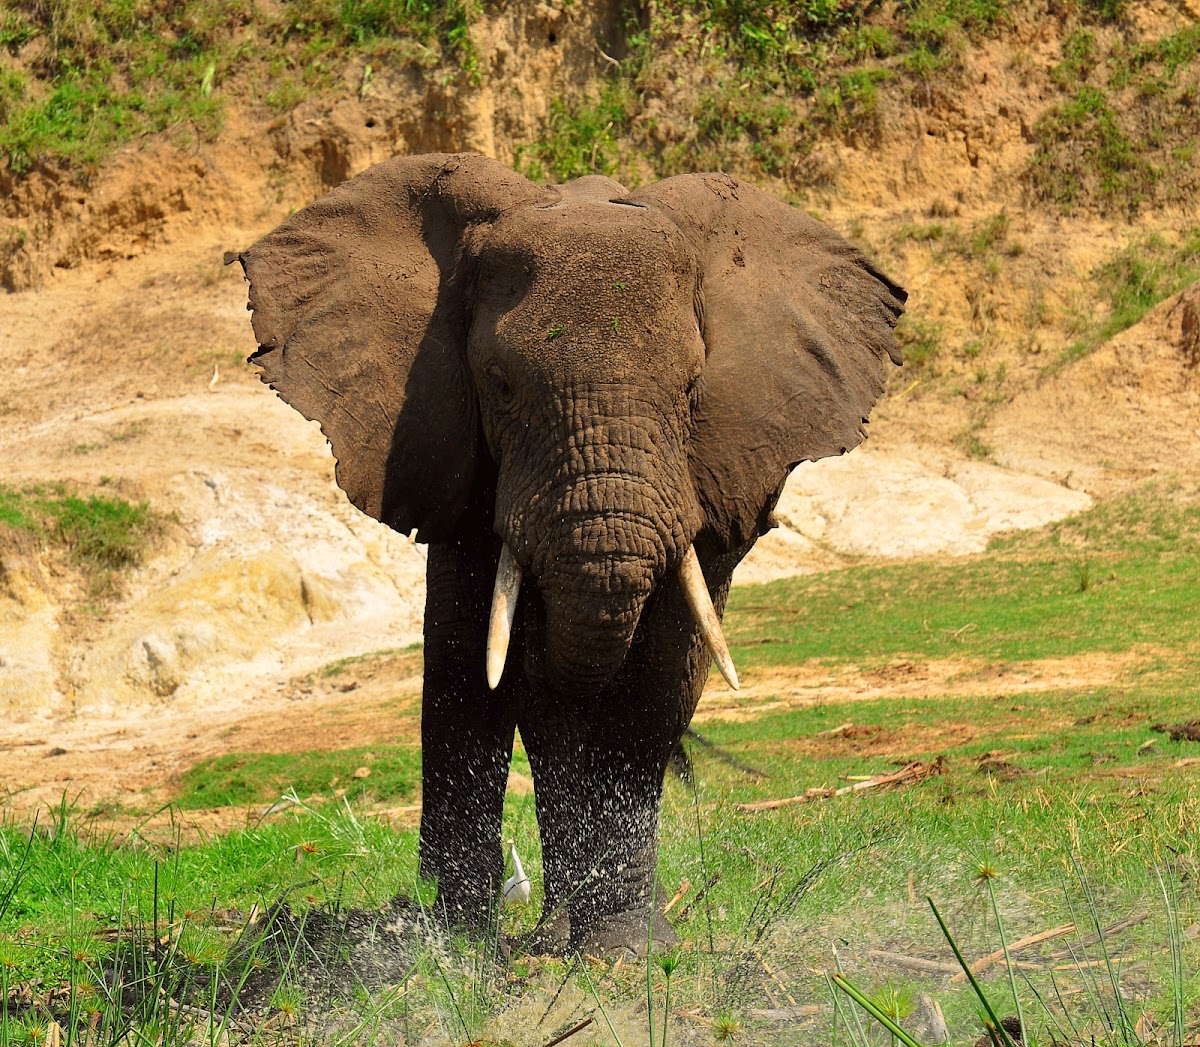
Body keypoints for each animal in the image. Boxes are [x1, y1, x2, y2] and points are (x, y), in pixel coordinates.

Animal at [226, 153, 902, 955]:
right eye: (501, 386)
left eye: (691, 386)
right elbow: (472, 668)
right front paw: (458, 954)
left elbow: (656, 681)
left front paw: (626, 953)